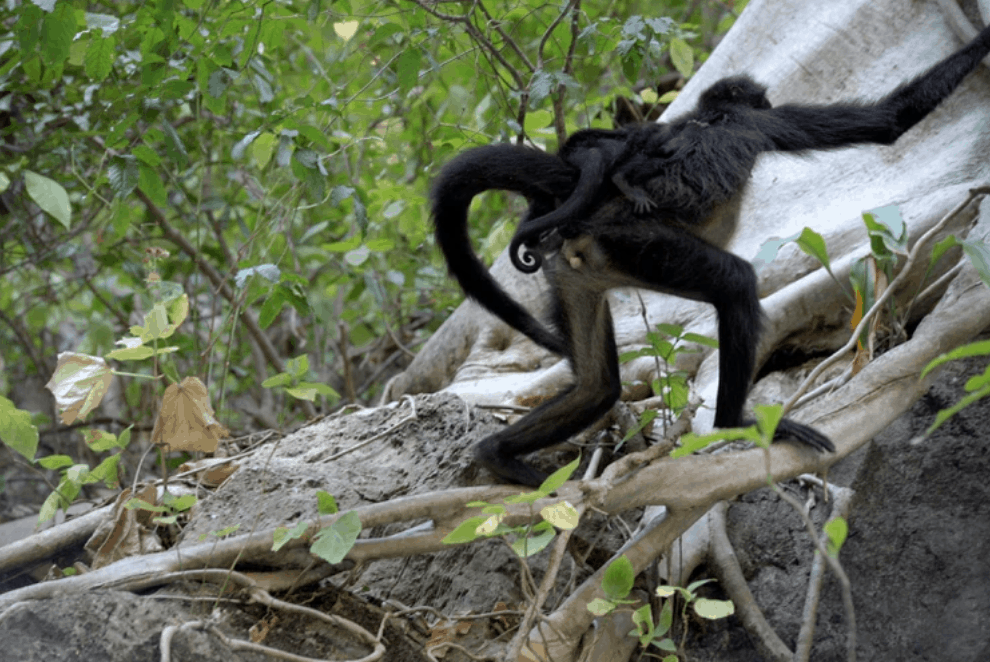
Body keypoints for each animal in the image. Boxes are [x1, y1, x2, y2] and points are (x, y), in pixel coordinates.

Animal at [432, 24, 990, 488]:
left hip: (577, 271)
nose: (768, 96)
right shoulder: (761, 123)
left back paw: (495, 453)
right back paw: (733, 422)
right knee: (735, 283)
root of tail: (590, 213)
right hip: (641, 245)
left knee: (597, 385)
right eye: (764, 99)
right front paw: (984, 41)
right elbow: (887, 121)